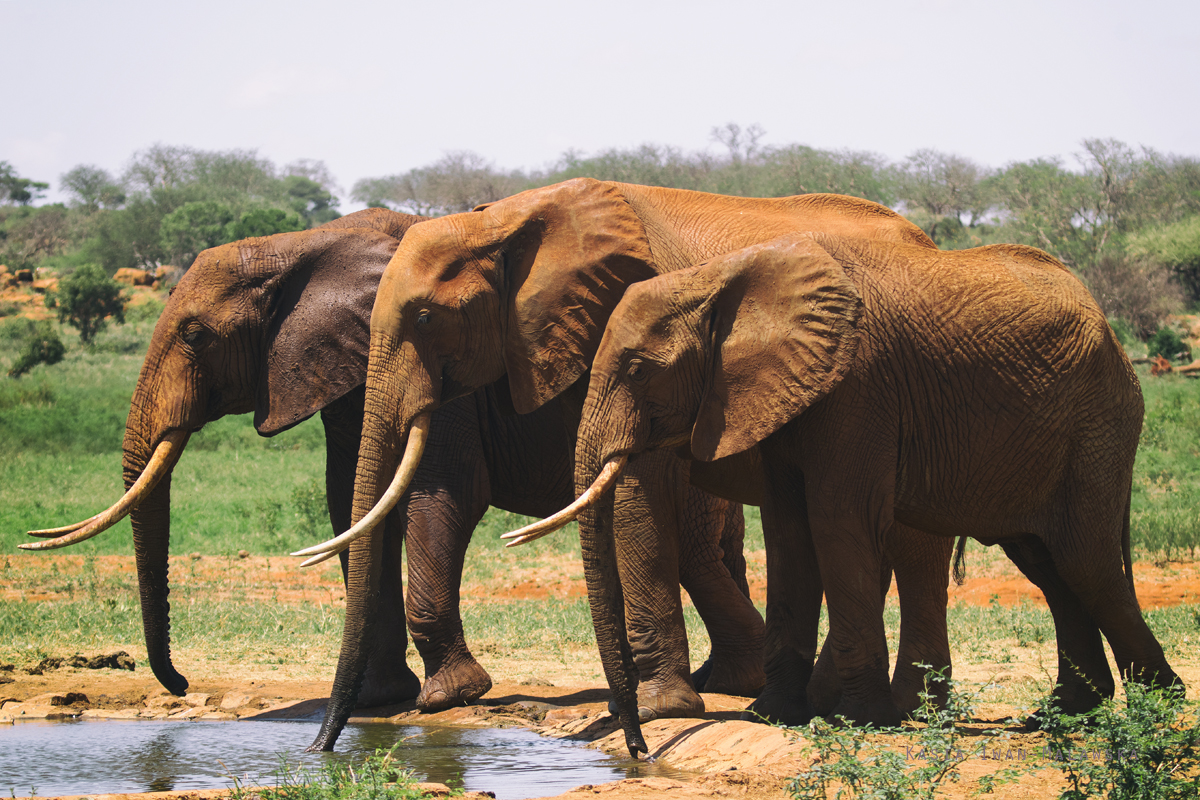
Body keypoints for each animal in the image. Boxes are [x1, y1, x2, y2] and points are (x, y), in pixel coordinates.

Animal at [513, 231, 1180, 758]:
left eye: (638, 369)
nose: (639, 749)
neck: (720, 279)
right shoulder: (782, 391)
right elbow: (788, 532)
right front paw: (773, 713)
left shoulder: (860, 385)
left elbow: (838, 523)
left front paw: (857, 718)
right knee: (1048, 564)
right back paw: (1063, 715)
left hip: (1099, 424)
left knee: (1086, 563)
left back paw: (1158, 710)